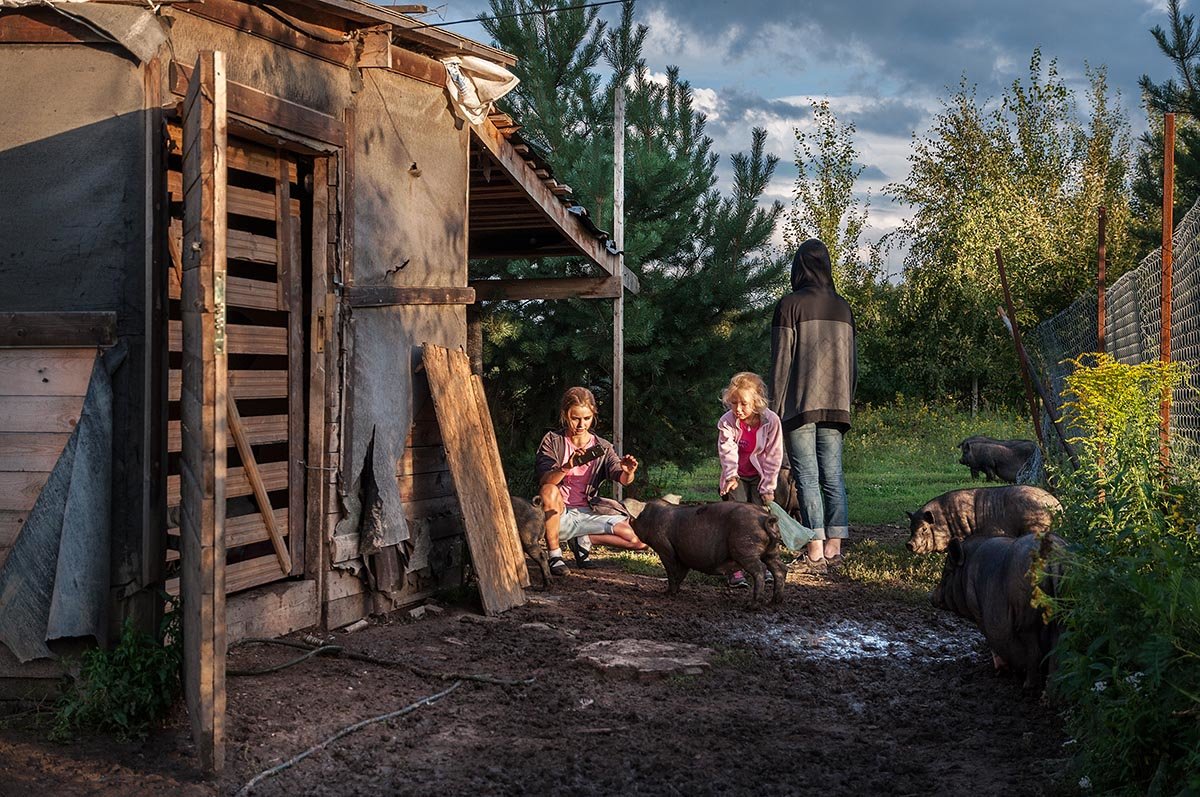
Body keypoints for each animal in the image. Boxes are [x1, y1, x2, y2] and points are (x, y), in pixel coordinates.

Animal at [628, 501, 787, 607]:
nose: (629, 520)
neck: (651, 517)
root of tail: (765, 517)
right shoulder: (684, 555)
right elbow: (680, 574)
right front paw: (675, 592)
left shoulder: (665, 549)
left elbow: (672, 572)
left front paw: (667, 594)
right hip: (771, 551)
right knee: (780, 568)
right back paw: (775, 602)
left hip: (746, 549)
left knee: (760, 570)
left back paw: (752, 605)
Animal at [902, 484, 1065, 554]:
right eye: (911, 528)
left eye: (924, 528)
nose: (909, 544)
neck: (945, 521)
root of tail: (1057, 506)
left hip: (1035, 526)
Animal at [931, 532, 1065, 686]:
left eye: (947, 573)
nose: (931, 597)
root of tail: (1052, 558)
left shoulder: (977, 611)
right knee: (1057, 650)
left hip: (1027, 617)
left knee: (1034, 651)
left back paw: (1028, 685)